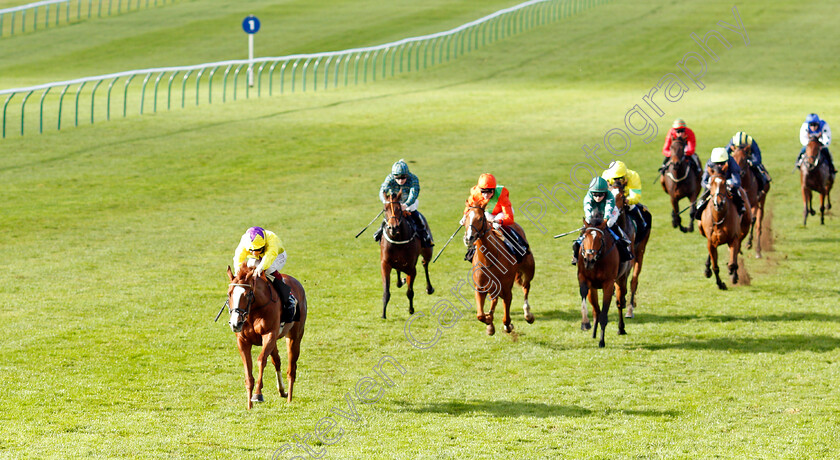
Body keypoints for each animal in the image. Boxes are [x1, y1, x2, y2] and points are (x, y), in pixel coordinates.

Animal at [226, 260, 308, 408]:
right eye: (229, 294)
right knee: (277, 361)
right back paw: (282, 391)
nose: (235, 323)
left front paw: (257, 394)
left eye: (248, 294)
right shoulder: (243, 341)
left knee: (291, 368)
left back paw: (289, 398)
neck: (253, 312)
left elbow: (261, 360)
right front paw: (249, 405)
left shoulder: (269, 335)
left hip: (294, 336)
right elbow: (248, 369)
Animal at [462, 203, 536, 336]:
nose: (469, 238)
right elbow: (480, 315)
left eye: (480, 219)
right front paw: (489, 322)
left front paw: (507, 325)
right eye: (466, 218)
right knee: (495, 299)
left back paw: (528, 314)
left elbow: (506, 317)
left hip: (528, 271)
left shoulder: (506, 289)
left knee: (526, 288)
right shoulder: (480, 288)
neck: (489, 259)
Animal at [576, 214, 624, 346]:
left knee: (620, 302)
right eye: (584, 237)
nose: (589, 259)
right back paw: (594, 333)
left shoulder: (608, 284)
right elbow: (584, 295)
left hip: (621, 279)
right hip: (593, 288)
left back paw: (621, 329)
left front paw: (602, 341)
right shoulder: (584, 278)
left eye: (600, 239)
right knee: (596, 309)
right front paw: (585, 323)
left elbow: (604, 313)